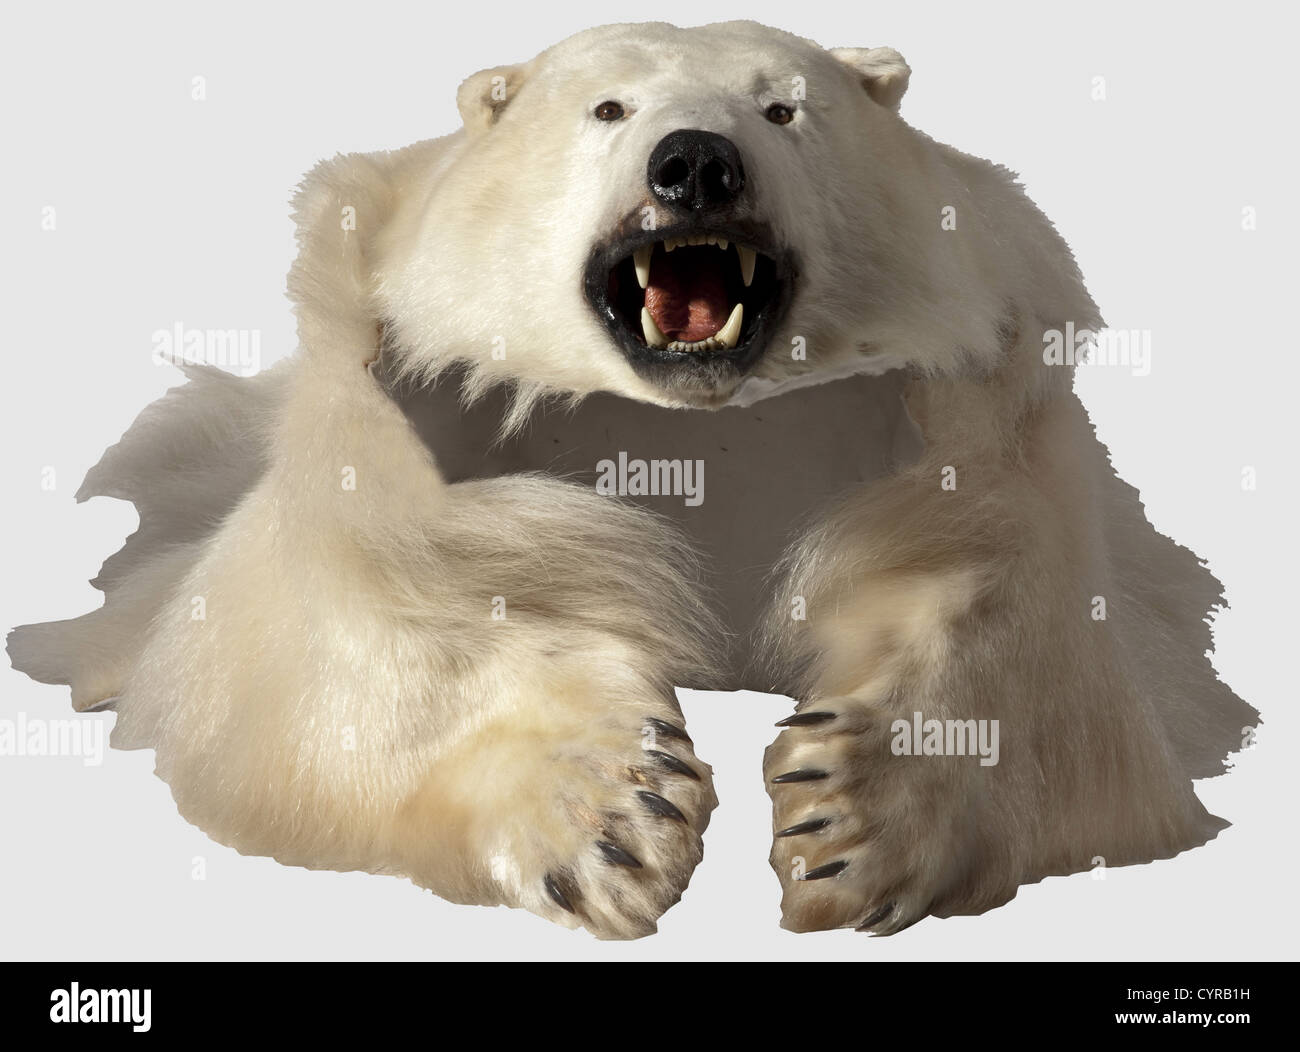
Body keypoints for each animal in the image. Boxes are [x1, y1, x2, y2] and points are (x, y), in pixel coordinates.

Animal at [8, 20, 1257, 939]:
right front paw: (611, 815)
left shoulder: (1007, 437)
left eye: (783, 107)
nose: (695, 162)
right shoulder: (360, 438)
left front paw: (846, 815)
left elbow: (1023, 636)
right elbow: (360, 643)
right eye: (605, 109)